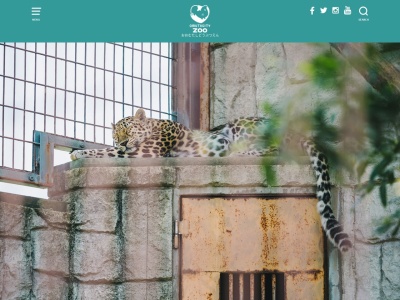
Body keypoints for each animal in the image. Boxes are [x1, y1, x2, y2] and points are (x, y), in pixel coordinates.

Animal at [70, 109, 352, 252]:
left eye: (128, 130)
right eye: (116, 133)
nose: (123, 140)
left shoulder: (144, 153)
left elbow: (107, 152)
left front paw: (79, 153)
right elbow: (108, 150)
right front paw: (79, 151)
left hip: (241, 127)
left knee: (274, 150)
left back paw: (238, 153)